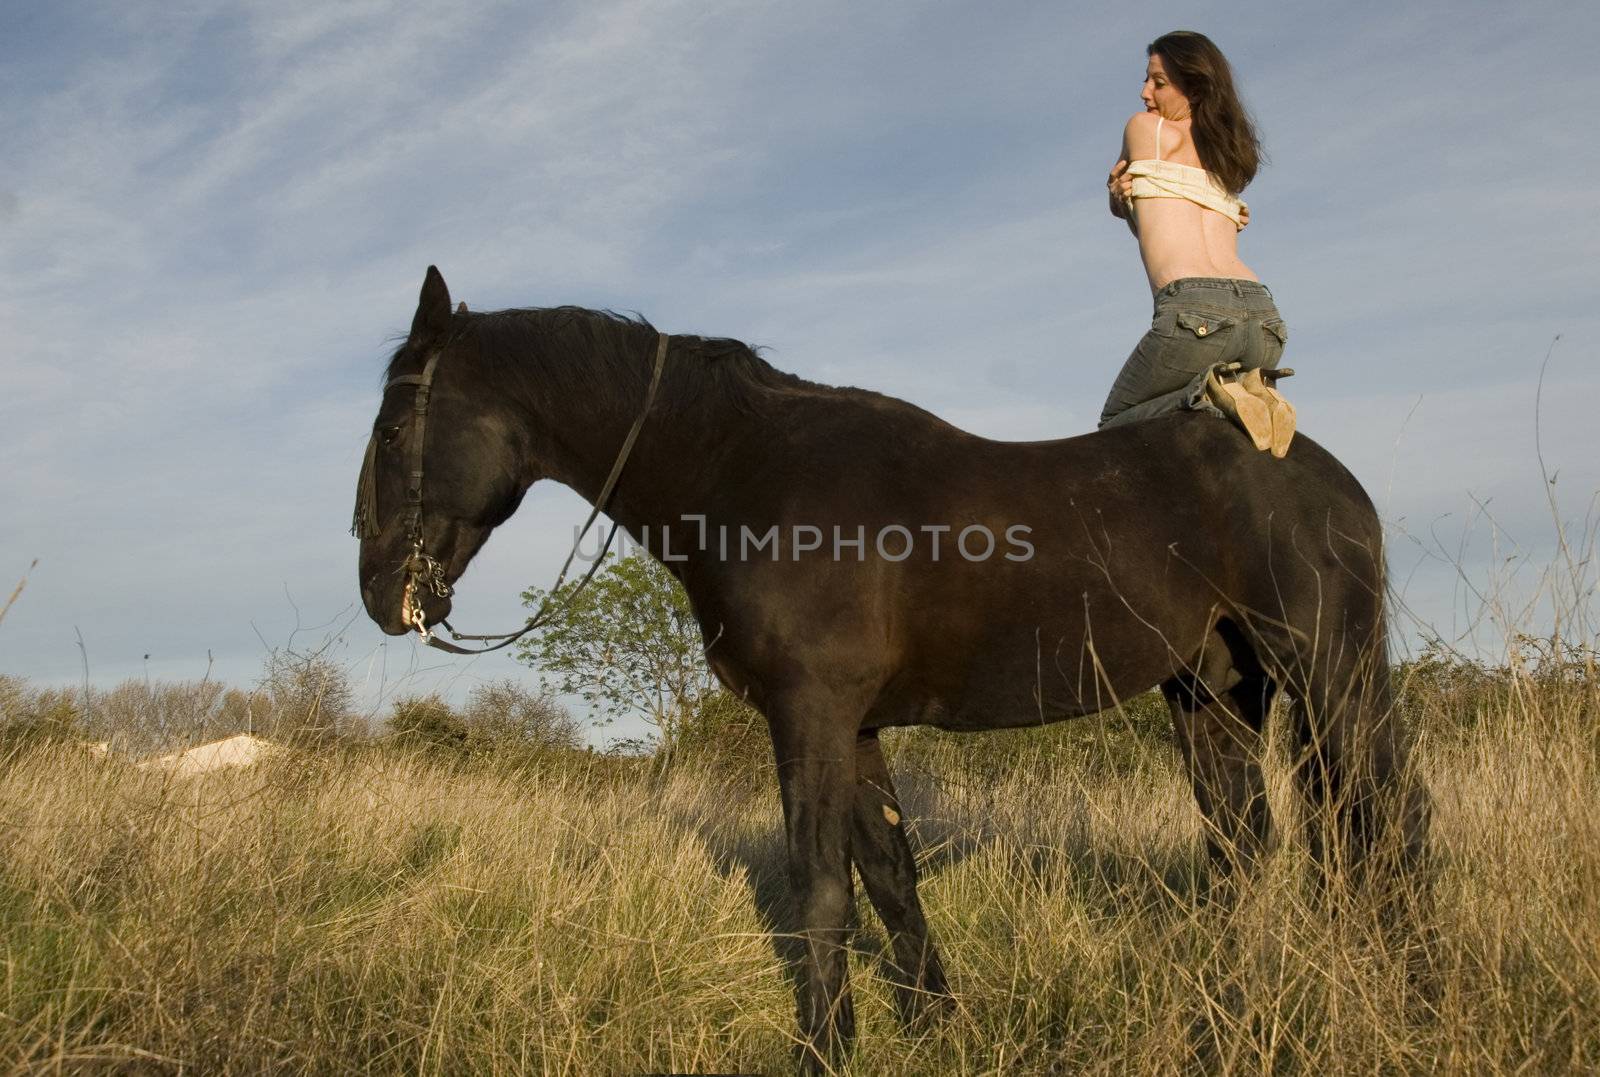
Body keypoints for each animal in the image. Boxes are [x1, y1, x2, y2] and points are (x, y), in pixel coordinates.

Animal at [356, 267, 1433, 1068]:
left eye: (394, 428)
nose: (376, 590)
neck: (749, 473)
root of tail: (1326, 476)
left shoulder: (811, 717)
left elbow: (821, 889)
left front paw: (824, 1051)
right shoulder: (857, 727)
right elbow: (890, 879)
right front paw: (934, 1026)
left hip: (1331, 670)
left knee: (1387, 819)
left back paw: (1407, 998)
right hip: (1213, 692)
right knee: (1247, 844)